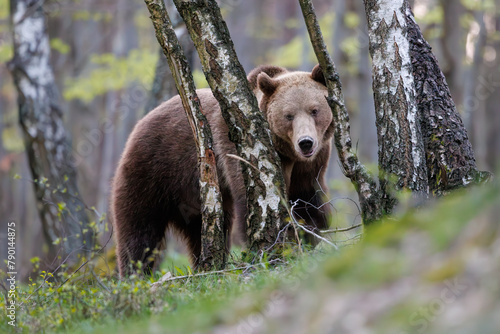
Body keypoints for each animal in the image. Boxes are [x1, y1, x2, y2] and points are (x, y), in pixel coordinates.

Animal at [111, 64, 334, 276]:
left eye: (314, 110)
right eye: (288, 115)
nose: (305, 142)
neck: (287, 154)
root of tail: (140, 123)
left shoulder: (311, 166)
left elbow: (309, 203)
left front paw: (310, 235)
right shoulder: (235, 148)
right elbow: (250, 198)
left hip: (193, 199)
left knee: (202, 232)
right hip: (152, 171)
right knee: (138, 229)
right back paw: (134, 274)